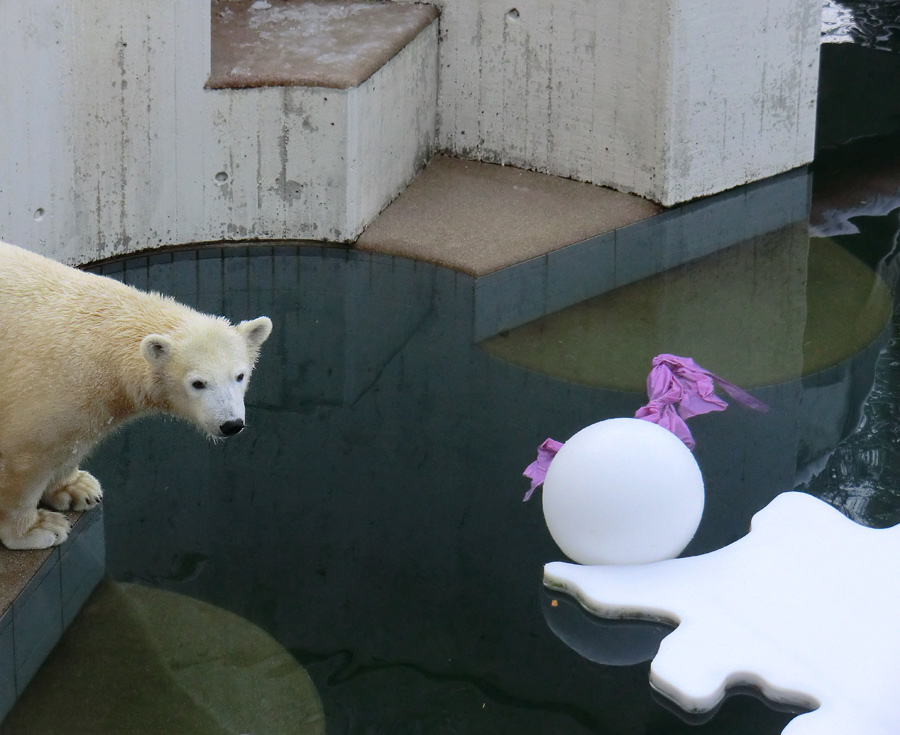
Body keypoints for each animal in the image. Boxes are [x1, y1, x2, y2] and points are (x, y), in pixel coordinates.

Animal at [0, 244, 272, 548]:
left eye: (240, 376)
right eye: (198, 383)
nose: (231, 424)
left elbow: (70, 444)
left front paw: (77, 488)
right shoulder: (48, 387)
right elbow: (25, 461)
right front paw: (37, 528)